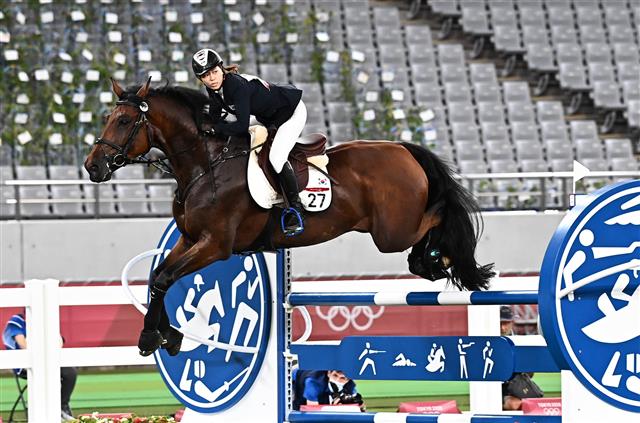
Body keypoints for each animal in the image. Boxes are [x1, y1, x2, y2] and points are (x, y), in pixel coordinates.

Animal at [85, 78, 496, 358]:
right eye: (108, 117)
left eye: (124, 122)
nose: (93, 167)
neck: (205, 165)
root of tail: (402, 149)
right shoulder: (189, 239)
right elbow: (159, 277)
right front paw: (167, 335)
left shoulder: (215, 245)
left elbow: (165, 278)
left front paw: (151, 338)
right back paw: (432, 261)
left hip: (392, 231)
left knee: (438, 215)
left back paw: (438, 258)